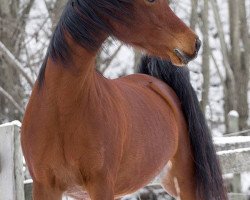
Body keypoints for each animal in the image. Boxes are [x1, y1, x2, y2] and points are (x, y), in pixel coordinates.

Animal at [20, 0, 227, 199]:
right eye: (151, 0)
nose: (196, 43)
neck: (61, 111)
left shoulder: (101, 185)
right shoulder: (44, 187)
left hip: (185, 183)